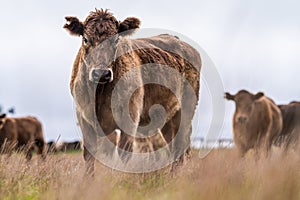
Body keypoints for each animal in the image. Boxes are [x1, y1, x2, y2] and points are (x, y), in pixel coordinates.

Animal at [65, 8, 202, 174]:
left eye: (116, 40)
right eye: (85, 39)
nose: (101, 73)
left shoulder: (129, 119)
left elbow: (124, 154)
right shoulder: (84, 119)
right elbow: (89, 155)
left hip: (186, 111)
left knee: (180, 146)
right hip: (168, 118)